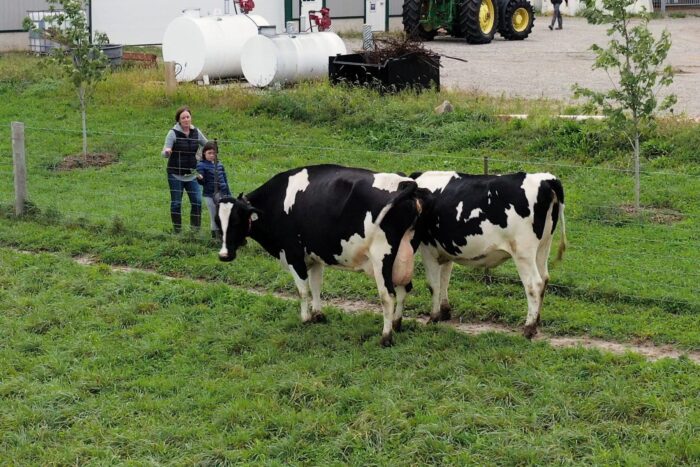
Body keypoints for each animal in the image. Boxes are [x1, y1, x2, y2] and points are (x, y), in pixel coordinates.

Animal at [217, 165, 426, 348]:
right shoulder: (314, 257)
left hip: (381, 256)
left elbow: (302, 290)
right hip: (405, 253)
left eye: (236, 221)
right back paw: (397, 325)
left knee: (387, 296)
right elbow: (316, 286)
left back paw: (386, 337)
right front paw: (318, 315)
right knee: (404, 288)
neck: (276, 202)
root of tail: (404, 182)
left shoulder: (293, 255)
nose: (224, 255)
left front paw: (305, 319)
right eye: (218, 221)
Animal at [410, 170, 568, 338]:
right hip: (544, 246)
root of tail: (546, 179)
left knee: (534, 284)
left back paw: (529, 328)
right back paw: (536, 321)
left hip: (523, 252)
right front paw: (444, 312)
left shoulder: (428, 248)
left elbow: (433, 284)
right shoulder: (446, 248)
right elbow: (445, 279)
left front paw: (433, 318)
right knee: (544, 279)